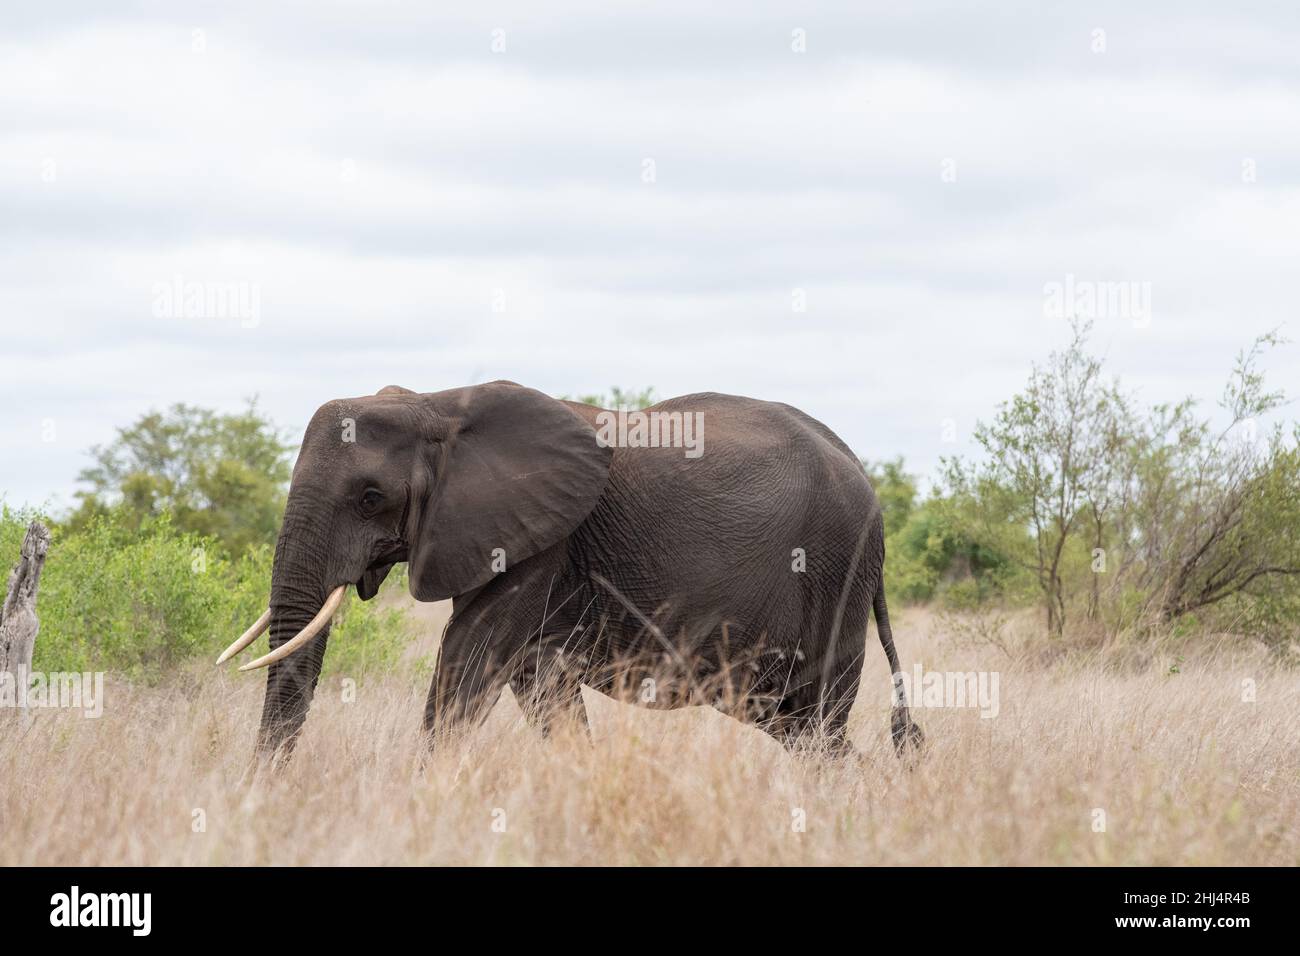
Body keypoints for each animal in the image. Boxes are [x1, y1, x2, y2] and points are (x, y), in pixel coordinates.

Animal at [223, 382, 930, 764]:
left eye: (370, 497)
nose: (263, 795)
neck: (437, 404)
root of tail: (861, 471)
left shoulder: (544, 542)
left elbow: (469, 658)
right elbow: (537, 679)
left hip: (837, 568)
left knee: (816, 722)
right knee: (797, 727)